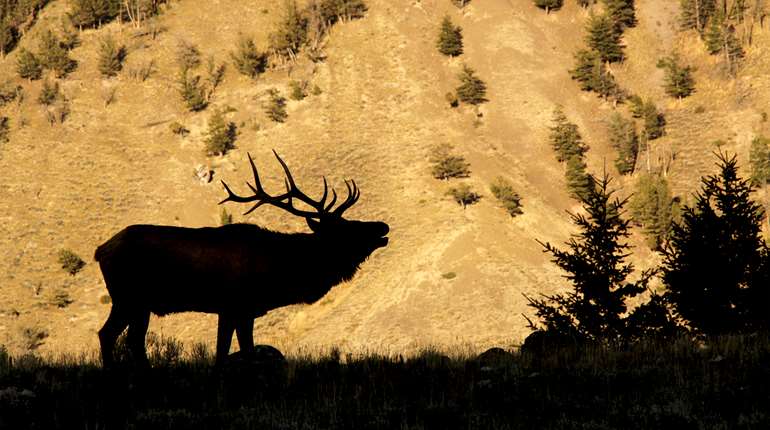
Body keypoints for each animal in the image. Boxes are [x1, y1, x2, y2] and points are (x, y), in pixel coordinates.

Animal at [95, 151, 389, 367]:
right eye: (345, 229)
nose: (382, 226)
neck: (280, 273)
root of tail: (100, 250)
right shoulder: (234, 306)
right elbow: (230, 353)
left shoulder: (244, 310)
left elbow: (235, 351)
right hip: (127, 298)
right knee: (109, 334)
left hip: (140, 304)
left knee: (133, 339)